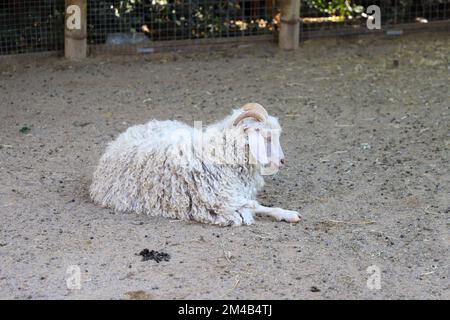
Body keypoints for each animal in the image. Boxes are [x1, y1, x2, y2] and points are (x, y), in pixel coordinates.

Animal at [89, 102, 300, 225]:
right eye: (267, 137)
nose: (282, 161)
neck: (220, 151)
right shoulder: (219, 199)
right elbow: (255, 206)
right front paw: (288, 214)